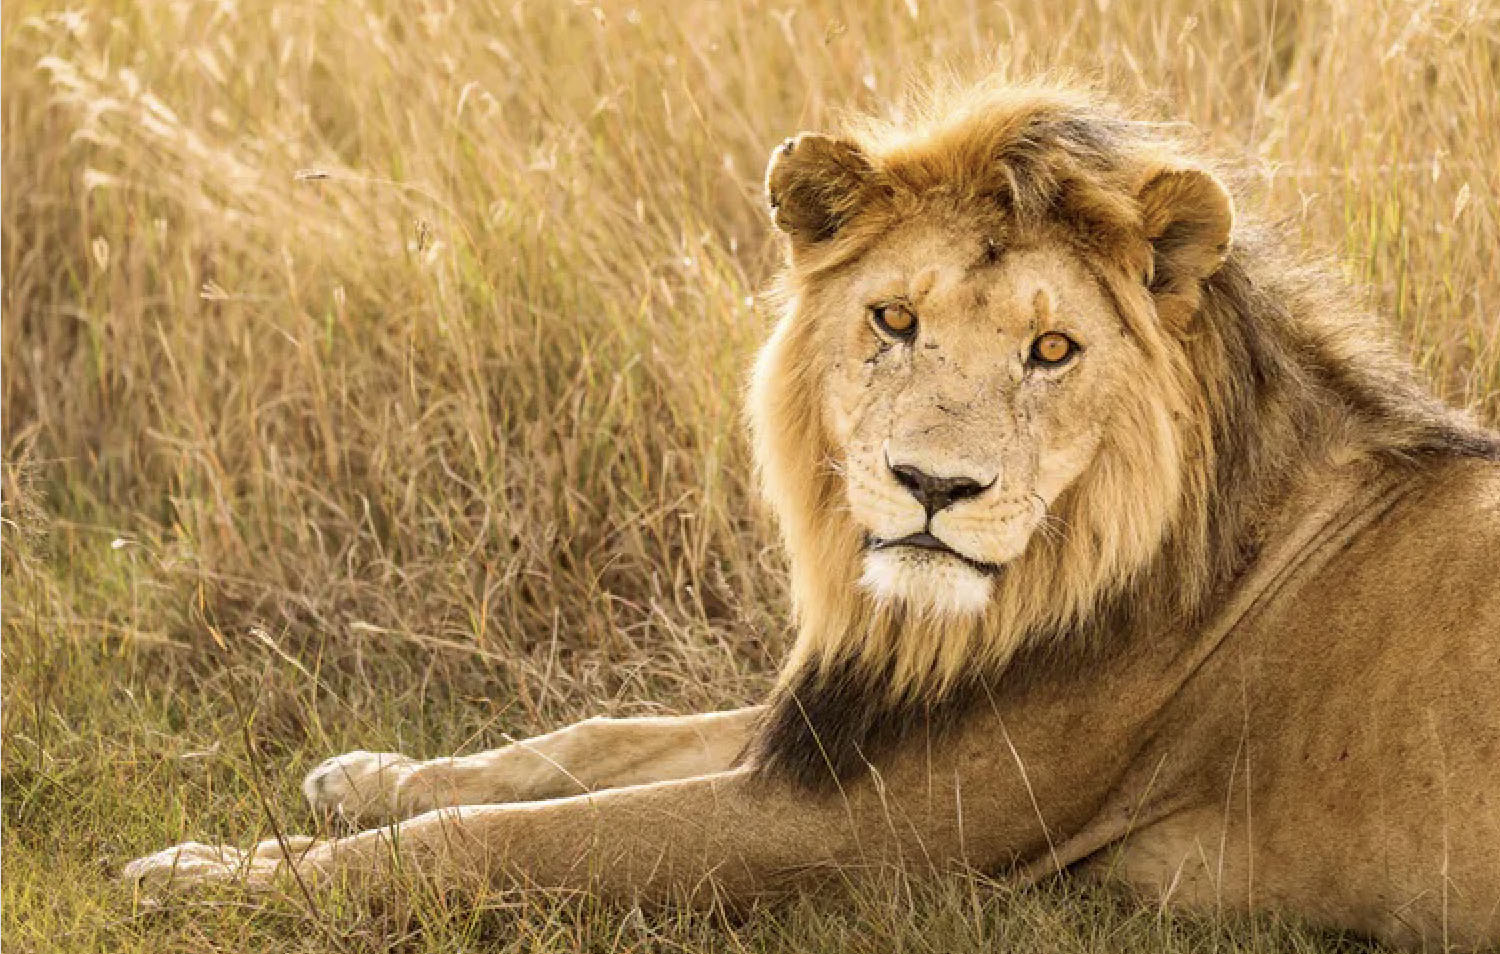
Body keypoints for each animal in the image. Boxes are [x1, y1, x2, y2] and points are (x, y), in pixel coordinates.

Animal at [125, 82, 1500, 950]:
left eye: (1052, 349)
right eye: (893, 318)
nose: (934, 488)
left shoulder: (858, 836)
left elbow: (493, 845)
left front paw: (209, 882)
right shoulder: (839, 722)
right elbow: (586, 743)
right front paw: (364, 775)